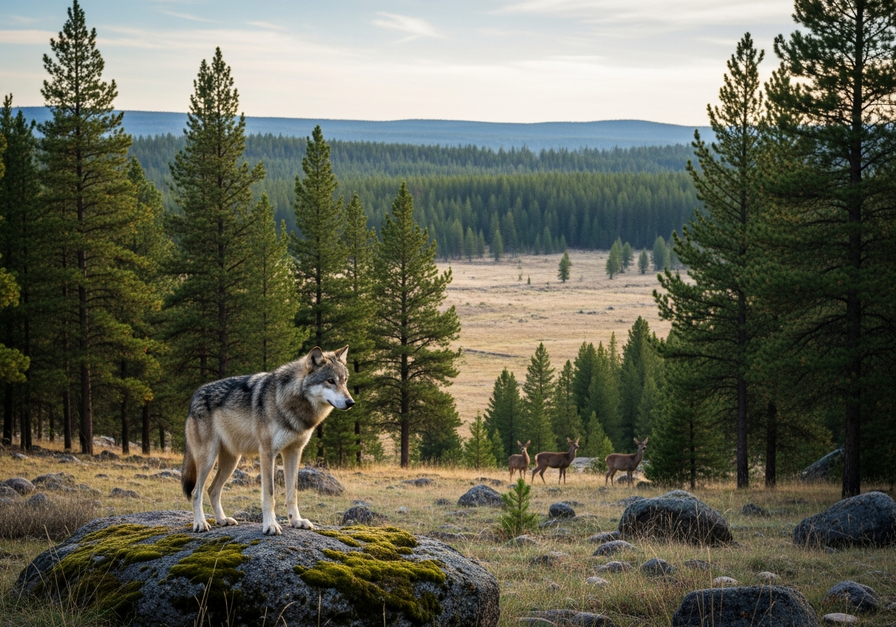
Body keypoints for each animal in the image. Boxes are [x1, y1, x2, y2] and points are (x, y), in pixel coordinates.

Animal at [182, 346, 354, 535]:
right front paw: (270, 525)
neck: (289, 399)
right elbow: (269, 494)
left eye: (344, 381)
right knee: (196, 492)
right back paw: (200, 523)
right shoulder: (267, 452)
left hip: (231, 461)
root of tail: (194, 397)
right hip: (208, 459)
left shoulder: (294, 452)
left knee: (212, 490)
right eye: (330, 381)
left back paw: (222, 520)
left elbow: (292, 493)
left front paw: (297, 521)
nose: (351, 402)